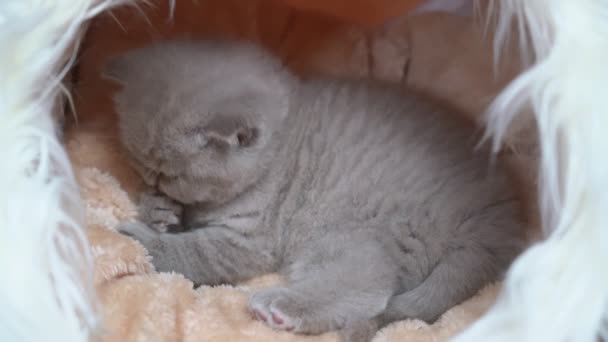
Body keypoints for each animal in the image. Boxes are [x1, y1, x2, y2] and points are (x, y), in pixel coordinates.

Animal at [104, 40, 528, 342]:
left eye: (171, 174)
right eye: (143, 166)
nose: (155, 184)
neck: (280, 147)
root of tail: (499, 212)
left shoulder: (250, 239)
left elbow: (195, 253)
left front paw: (143, 241)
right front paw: (157, 210)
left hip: (353, 230)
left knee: (366, 289)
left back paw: (280, 305)